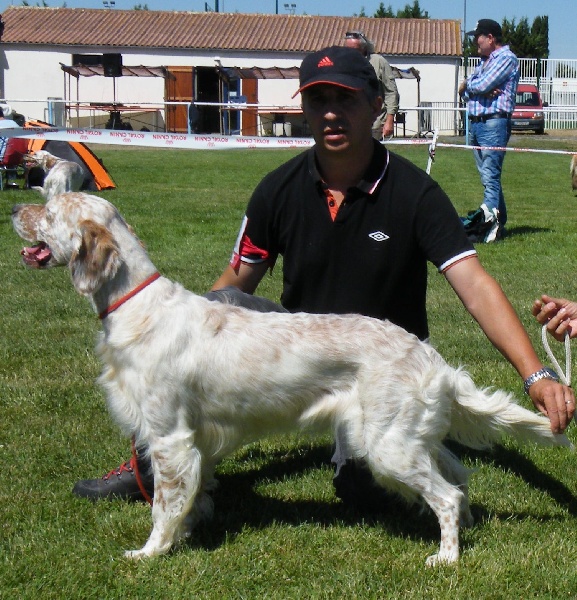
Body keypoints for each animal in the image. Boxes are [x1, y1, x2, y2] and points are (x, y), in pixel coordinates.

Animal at [11, 193, 568, 568]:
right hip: (409, 439)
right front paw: (187, 533)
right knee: (460, 477)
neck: (137, 304)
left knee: (447, 496)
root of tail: (433, 359)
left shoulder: (169, 438)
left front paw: (150, 553)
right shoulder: (190, 443)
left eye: (51, 211)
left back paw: (446, 557)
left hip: (387, 447)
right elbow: (189, 499)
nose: (15, 207)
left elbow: (164, 507)